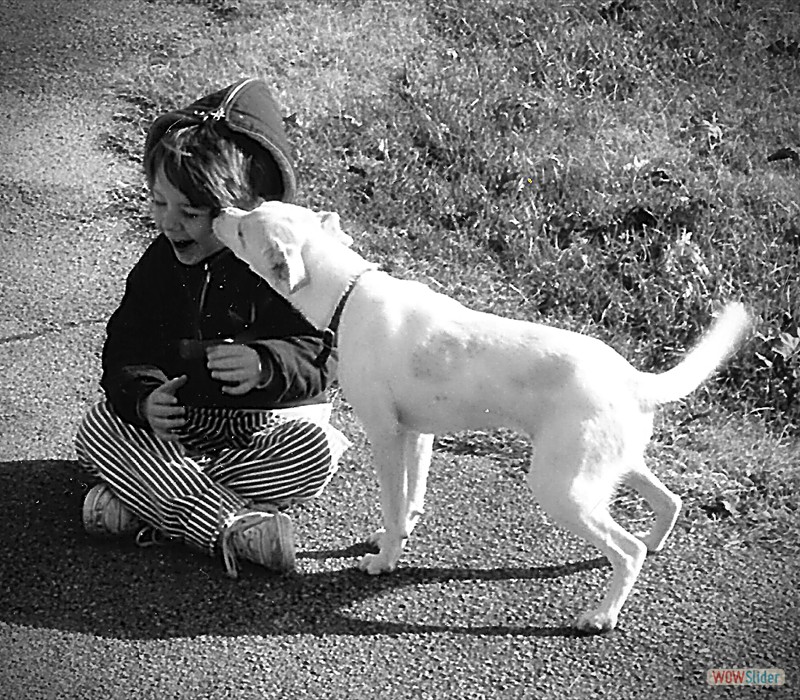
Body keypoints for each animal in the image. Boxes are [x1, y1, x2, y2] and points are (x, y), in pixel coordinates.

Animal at [212, 202, 752, 636]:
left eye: (243, 229)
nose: (218, 210)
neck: (349, 292)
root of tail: (634, 380)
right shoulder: (418, 433)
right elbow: (410, 499)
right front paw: (395, 538)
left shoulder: (386, 436)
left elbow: (392, 501)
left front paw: (383, 561)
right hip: (607, 466)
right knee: (670, 501)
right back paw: (655, 544)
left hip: (562, 488)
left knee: (626, 549)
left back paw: (602, 615)